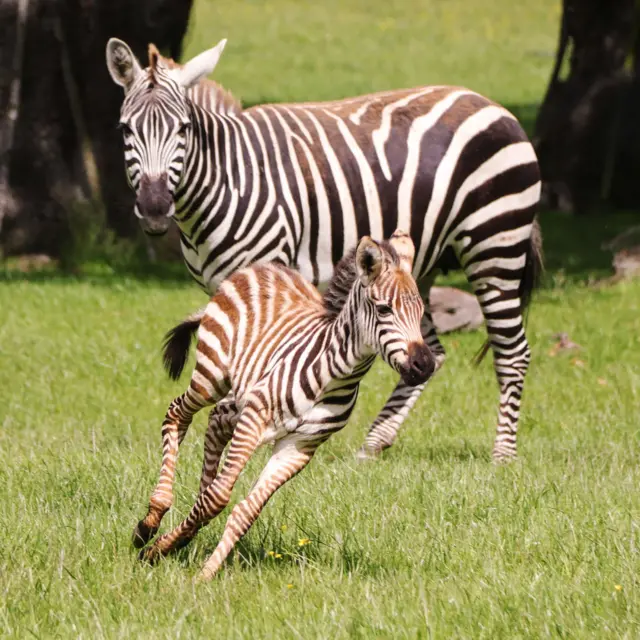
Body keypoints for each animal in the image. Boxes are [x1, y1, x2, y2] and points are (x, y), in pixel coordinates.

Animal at [105, 38, 543, 462]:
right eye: (125, 130)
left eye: (183, 129)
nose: (155, 208)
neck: (227, 179)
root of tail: (490, 104)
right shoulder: (225, 289)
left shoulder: (270, 267)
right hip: (419, 265)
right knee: (431, 352)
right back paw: (373, 444)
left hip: (494, 242)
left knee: (513, 352)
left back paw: (502, 455)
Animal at [135, 230, 431, 580]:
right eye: (384, 310)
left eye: (421, 311)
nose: (425, 366)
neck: (336, 374)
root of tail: (261, 267)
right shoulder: (254, 419)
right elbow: (219, 497)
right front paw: (161, 550)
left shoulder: (299, 447)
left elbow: (246, 511)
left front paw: (203, 565)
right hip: (212, 377)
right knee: (177, 414)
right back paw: (151, 519)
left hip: (241, 394)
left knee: (216, 423)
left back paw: (187, 524)